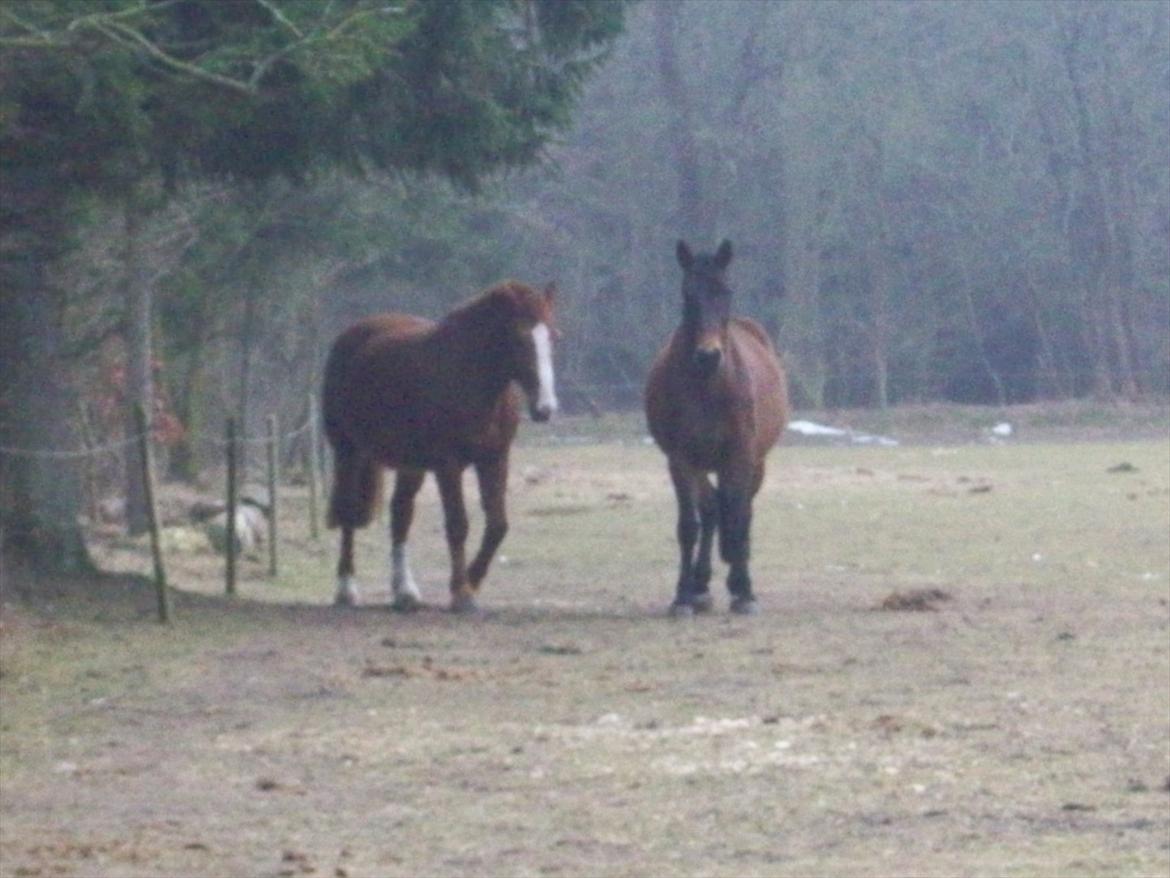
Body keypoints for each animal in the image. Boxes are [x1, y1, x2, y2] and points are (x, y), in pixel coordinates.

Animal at [320, 282, 556, 613]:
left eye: (554, 337)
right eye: (520, 337)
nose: (545, 408)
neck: (471, 380)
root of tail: (352, 335)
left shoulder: (495, 459)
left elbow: (497, 525)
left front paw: (472, 580)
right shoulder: (448, 465)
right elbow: (458, 524)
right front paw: (462, 592)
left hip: (410, 464)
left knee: (401, 513)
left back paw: (405, 592)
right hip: (348, 452)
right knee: (348, 513)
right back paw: (346, 589)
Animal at [645, 237, 790, 613]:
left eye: (726, 291)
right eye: (687, 294)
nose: (708, 355)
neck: (709, 386)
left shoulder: (740, 456)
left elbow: (738, 517)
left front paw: (744, 591)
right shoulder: (681, 459)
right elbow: (689, 524)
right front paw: (683, 595)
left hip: (755, 463)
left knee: (743, 511)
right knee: (710, 510)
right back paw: (700, 586)